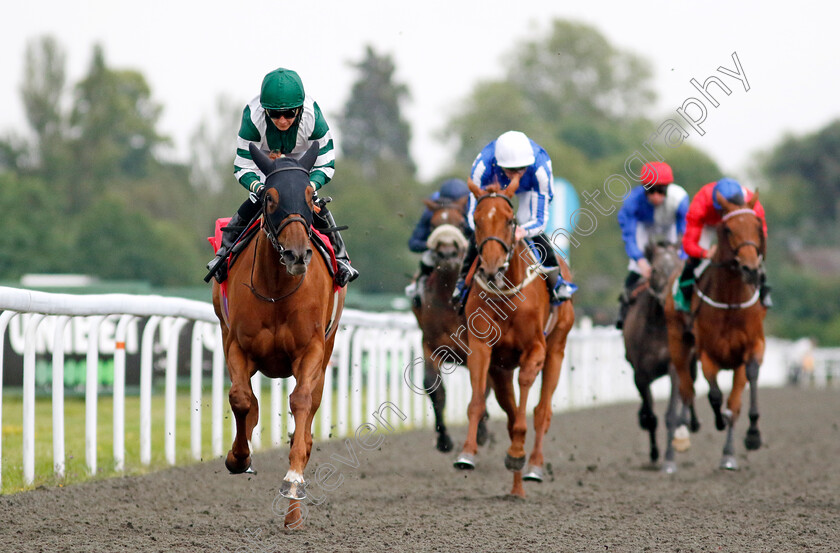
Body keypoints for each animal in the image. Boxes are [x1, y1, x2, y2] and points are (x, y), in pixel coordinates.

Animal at [212, 142, 346, 528]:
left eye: (310, 196)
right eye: (269, 198)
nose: (297, 254)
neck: (276, 287)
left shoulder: (311, 349)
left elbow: (301, 402)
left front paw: (294, 480)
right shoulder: (236, 345)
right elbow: (241, 399)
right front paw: (238, 458)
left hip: (328, 349)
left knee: (310, 409)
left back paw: (293, 510)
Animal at [452, 176, 576, 496]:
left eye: (510, 221)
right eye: (476, 220)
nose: (492, 267)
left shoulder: (536, 349)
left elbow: (527, 402)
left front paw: (519, 453)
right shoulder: (481, 348)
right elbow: (476, 402)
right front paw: (467, 453)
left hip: (557, 350)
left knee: (542, 412)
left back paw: (532, 467)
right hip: (501, 371)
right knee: (508, 412)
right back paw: (516, 487)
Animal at [624, 239, 704, 472]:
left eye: (678, 267)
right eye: (656, 270)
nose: (669, 296)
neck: (659, 325)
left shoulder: (674, 366)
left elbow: (671, 414)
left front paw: (669, 459)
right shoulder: (640, 374)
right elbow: (651, 417)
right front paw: (654, 453)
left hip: (691, 362)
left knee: (689, 392)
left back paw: (690, 424)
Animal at [664, 191, 768, 470]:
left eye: (757, 226)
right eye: (728, 228)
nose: (750, 269)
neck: (730, 301)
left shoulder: (753, 346)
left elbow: (741, 394)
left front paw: (750, 437)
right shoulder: (707, 353)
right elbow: (713, 395)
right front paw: (718, 421)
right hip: (678, 344)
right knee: (686, 389)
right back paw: (682, 434)